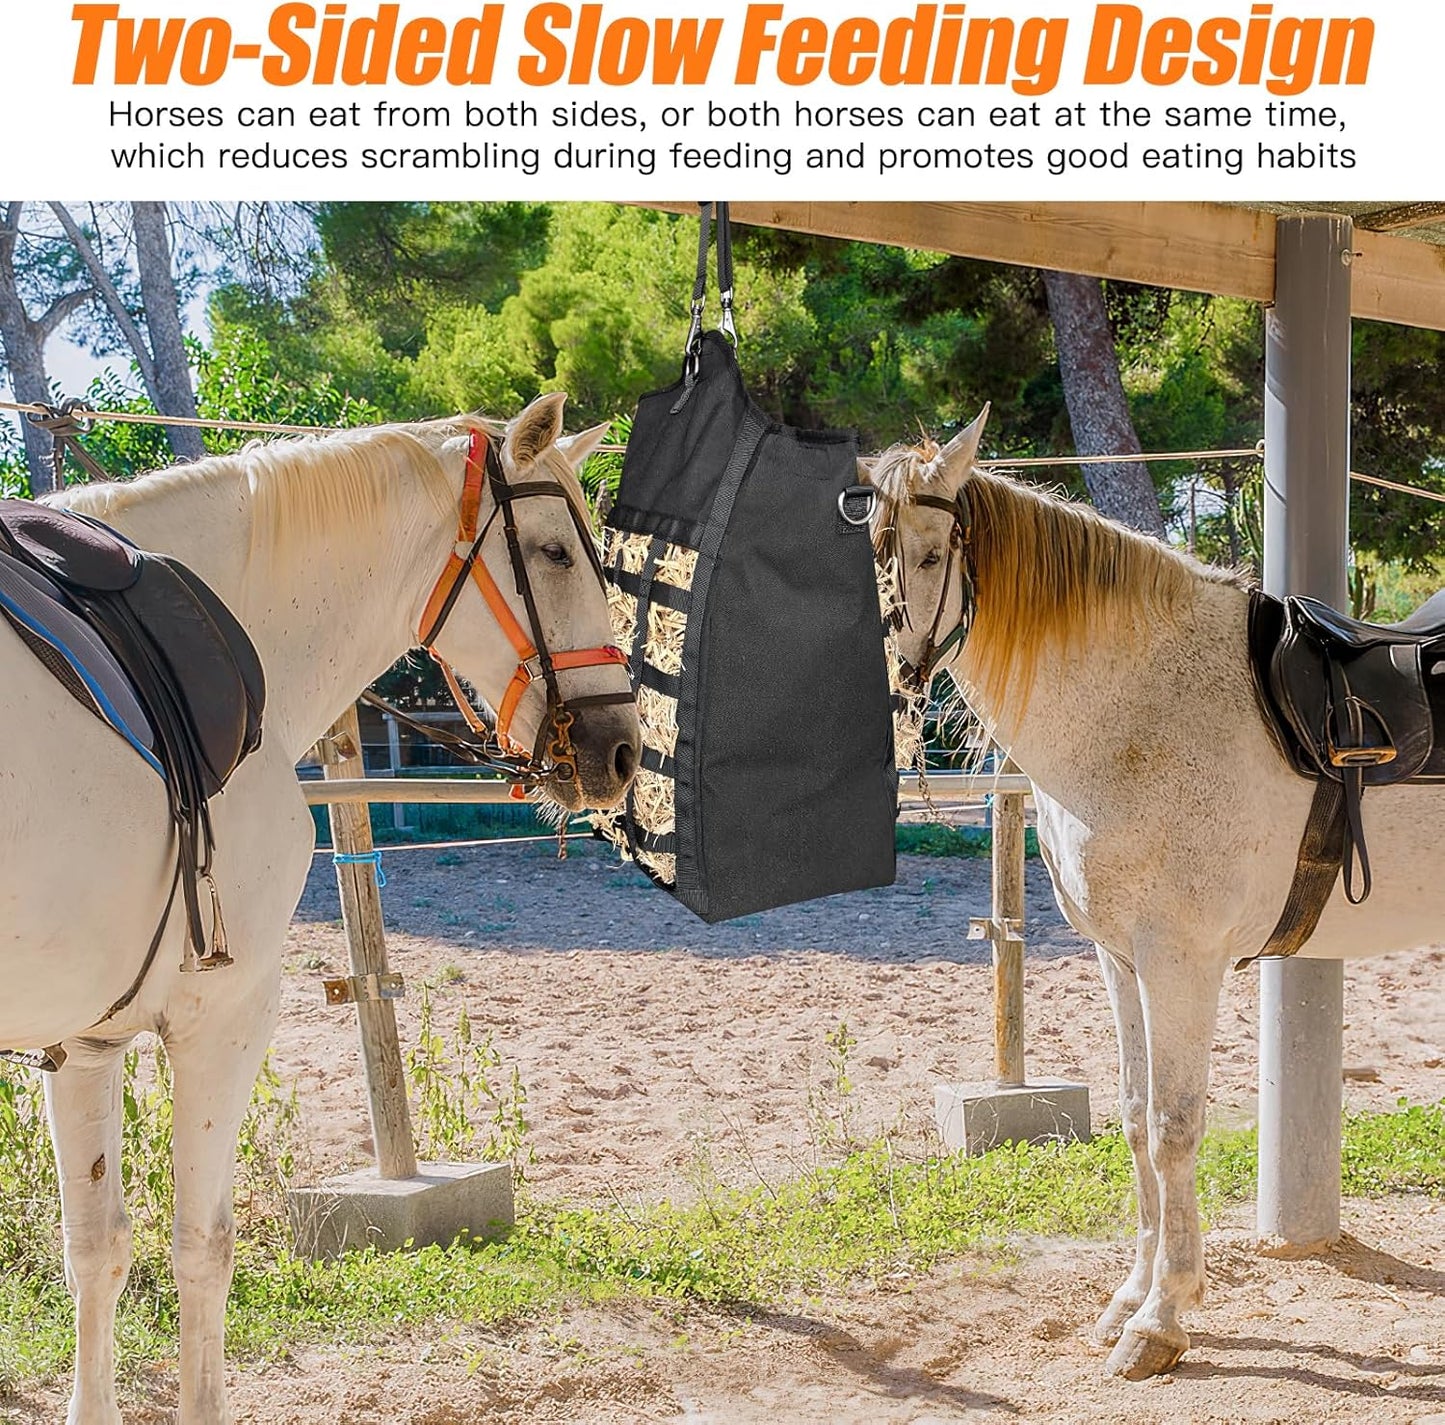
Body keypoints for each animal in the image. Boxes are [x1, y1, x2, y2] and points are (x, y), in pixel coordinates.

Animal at [0, 392, 639, 1424]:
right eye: (552, 553)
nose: (619, 748)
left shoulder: (87, 1039)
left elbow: (97, 1248)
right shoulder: (224, 1014)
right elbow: (202, 1244)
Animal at [866, 410, 1445, 1380]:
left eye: (930, 549)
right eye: (869, 546)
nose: (890, 683)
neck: (1138, 706)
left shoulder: (1182, 961)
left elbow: (1176, 1126)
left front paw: (1162, 1319)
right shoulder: (1120, 956)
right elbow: (1137, 1120)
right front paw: (1128, 1298)